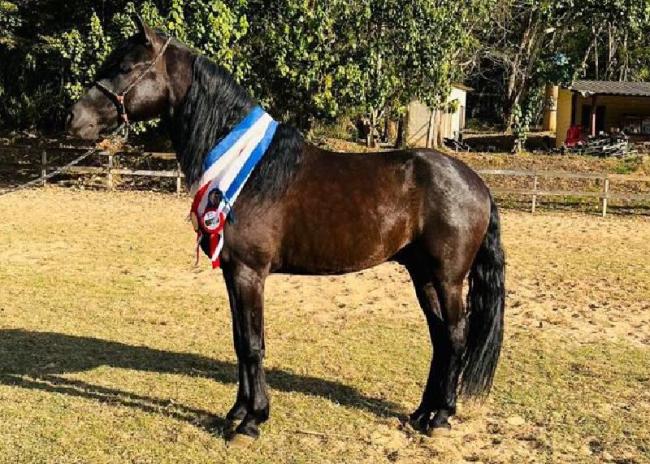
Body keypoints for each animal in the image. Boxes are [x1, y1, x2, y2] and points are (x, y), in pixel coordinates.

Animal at [66, 16, 505, 445]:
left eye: (125, 67)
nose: (74, 119)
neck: (252, 172)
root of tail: (476, 183)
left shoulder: (249, 272)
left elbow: (253, 344)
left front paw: (251, 421)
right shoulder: (232, 272)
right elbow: (240, 341)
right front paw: (237, 414)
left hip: (447, 278)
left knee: (456, 336)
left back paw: (441, 417)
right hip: (423, 275)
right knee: (440, 338)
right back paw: (422, 413)